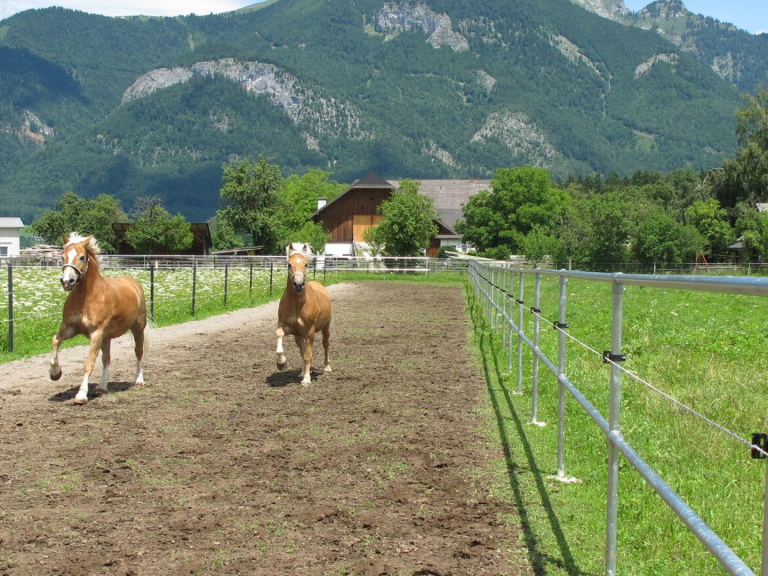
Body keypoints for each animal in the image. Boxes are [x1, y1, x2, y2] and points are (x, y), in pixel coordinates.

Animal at [49, 234, 150, 404]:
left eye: (82, 257)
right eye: (63, 256)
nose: (67, 281)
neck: (87, 297)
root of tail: (134, 284)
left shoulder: (96, 333)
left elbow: (88, 363)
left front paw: (81, 395)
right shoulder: (69, 327)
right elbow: (56, 340)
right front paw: (55, 373)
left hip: (137, 329)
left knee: (138, 352)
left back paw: (139, 380)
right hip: (106, 337)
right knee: (107, 359)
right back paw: (102, 387)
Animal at [278, 243, 334, 388]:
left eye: (306, 264)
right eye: (289, 264)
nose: (298, 284)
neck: (298, 304)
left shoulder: (310, 331)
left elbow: (308, 355)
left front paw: (307, 380)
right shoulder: (286, 326)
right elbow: (279, 335)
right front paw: (281, 363)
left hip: (326, 327)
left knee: (326, 344)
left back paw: (327, 368)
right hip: (298, 335)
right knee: (302, 350)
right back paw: (302, 372)